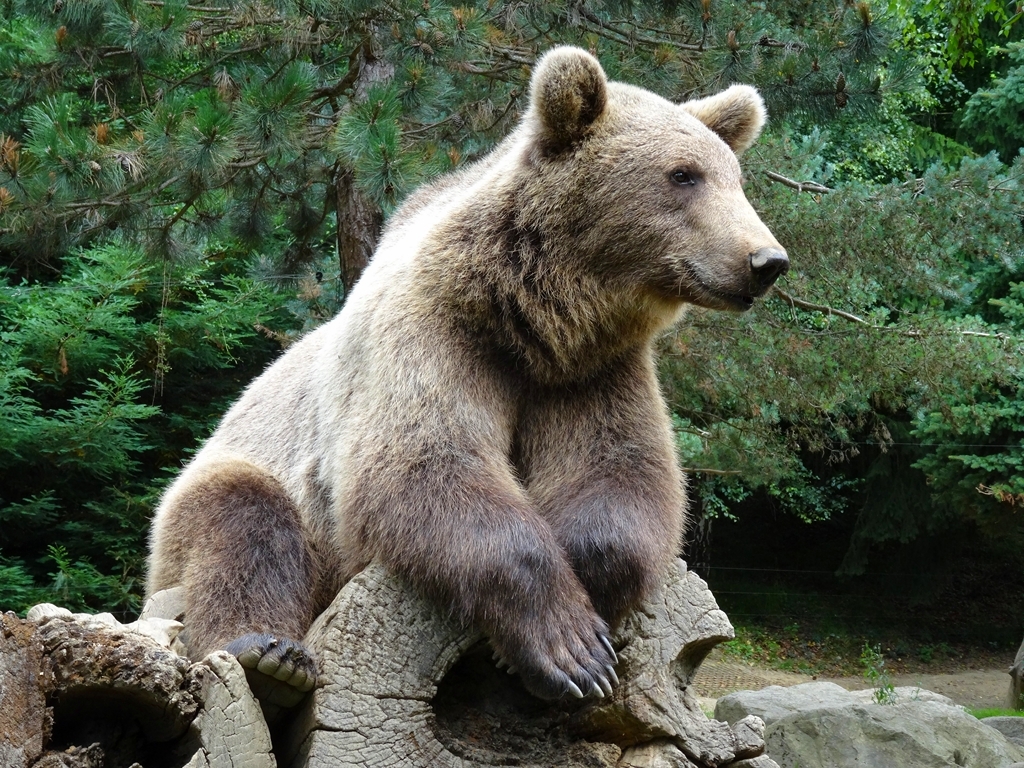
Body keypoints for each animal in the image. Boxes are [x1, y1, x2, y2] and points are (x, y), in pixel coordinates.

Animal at [144, 43, 786, 716]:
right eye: (683, 175)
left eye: (735, 178)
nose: (766, 261)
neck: (532, 315)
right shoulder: (436, 335)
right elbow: (427, 462)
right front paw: (567, 649)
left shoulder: (594, 372)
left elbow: (619, 474)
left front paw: (574, 626)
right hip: (235, 483)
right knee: (241, 519)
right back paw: (269, 655)